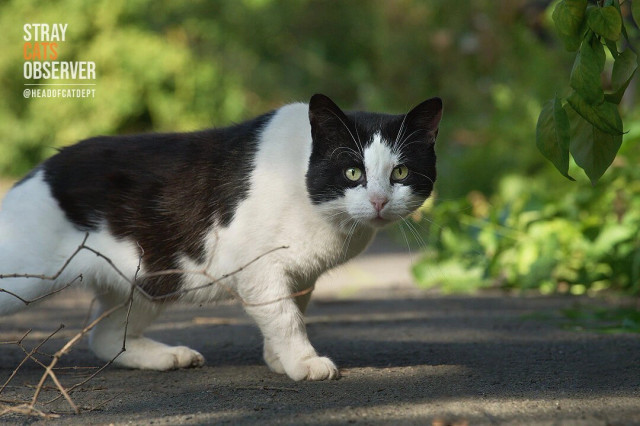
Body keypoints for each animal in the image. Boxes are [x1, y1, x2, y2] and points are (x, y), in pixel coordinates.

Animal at [0, 93, 440, 380]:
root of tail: (40, 170)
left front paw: (280, 360)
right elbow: (285, 317)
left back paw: (167, 357)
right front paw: (303, 363)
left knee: (104, 337)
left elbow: (290, 312)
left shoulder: (301, 275)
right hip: (25, 279)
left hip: (152, 279)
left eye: (400, 172)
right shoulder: (260, 270)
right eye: (353, 172)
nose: (380, 200)